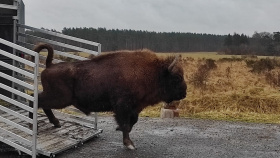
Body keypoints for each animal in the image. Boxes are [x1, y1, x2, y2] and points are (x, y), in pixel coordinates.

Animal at [29, 43, 187, 150]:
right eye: (177, 78)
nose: (184, 93)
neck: (155, 73)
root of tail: (49, 65)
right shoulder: (123, 107)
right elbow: (126, 124)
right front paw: (129, 144)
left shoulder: (133, 108)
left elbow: (132, 122)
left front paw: (120, 131)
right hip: (59, 98)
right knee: (36, 101)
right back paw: (34, 124)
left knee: (39, 102)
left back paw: (55, 123)